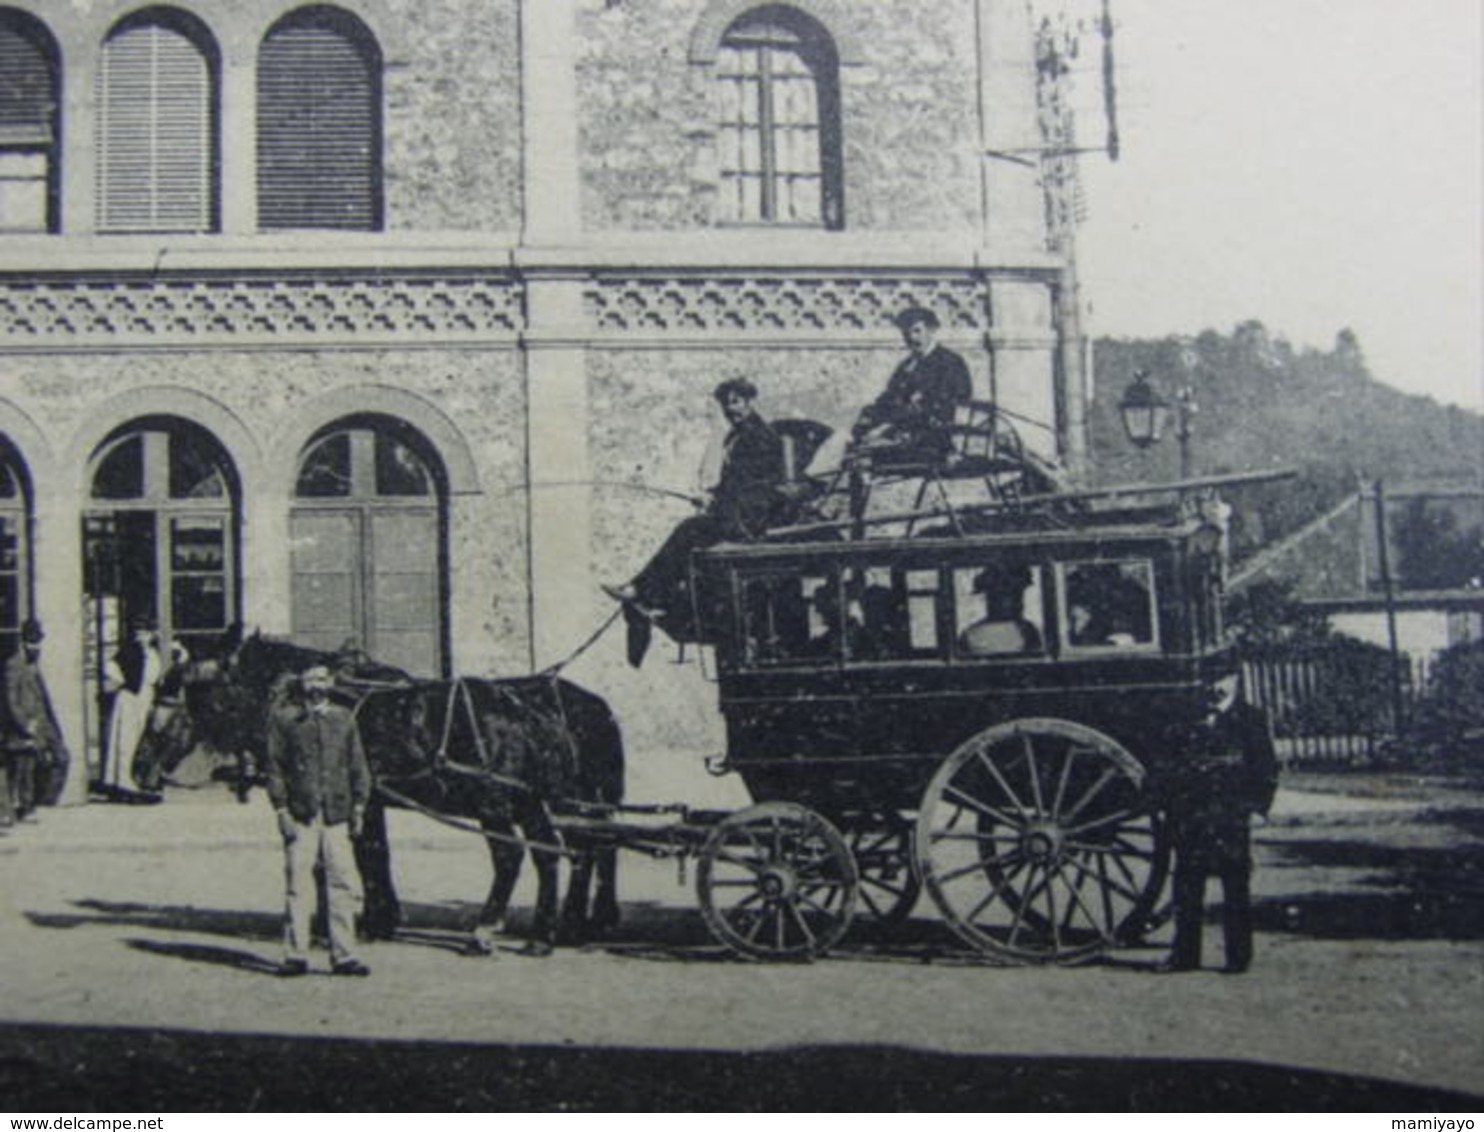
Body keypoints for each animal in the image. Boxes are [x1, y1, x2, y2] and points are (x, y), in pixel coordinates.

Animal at [182, 632, 623, 949]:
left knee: (517, 856)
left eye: (205, 687)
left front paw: (350, 923)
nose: (189, 746)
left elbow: (358, 856)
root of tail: (527, 711)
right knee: (559, 853)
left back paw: (490, 928)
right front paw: (380, 919)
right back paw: (547, 934)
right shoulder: (371, 800)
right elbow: (376, 854)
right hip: (533, 801)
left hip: (496, 803)